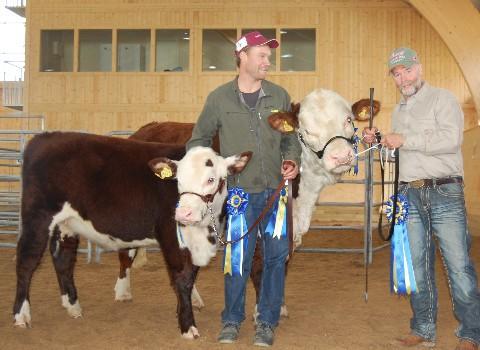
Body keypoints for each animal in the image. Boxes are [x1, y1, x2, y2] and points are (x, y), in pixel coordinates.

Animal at [12, 131, 251, 340]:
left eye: (211, 179)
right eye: (178, 180)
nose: (183, 213)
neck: (206, 227)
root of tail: (45, 138)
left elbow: (191, 275)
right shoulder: (169, 235)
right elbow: (182, 279)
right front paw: (187, 326)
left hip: (66, 223)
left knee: (63, 259)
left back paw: (73, 306)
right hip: (37, 217)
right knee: (26, 262)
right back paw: (21, 315)